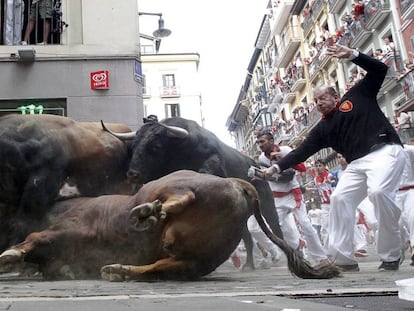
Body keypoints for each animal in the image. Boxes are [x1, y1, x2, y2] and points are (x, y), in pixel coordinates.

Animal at [0, 172, 342, 282]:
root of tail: (235, 182)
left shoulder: (63, 229)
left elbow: (33, 239)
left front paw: (9, 256)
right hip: (194, 260)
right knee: (161, 265)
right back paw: (118, 269)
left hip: (166, 184)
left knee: (180, 195)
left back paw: (147, 213)